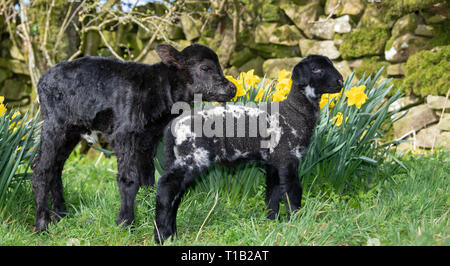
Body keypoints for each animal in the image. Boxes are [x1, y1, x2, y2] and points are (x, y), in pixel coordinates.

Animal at [153, 54, 342, 243]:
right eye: (316, 69)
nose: (340, 81)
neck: (295, 111)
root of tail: (173, 126)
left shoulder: (274, 162)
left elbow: (273, 193)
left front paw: (272, 222)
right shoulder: (288, 158)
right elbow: (292, 191)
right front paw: (297, 222)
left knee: (175, 194)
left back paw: (172, 235)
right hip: (194, 156)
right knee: (165, 187)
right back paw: (162, 236)